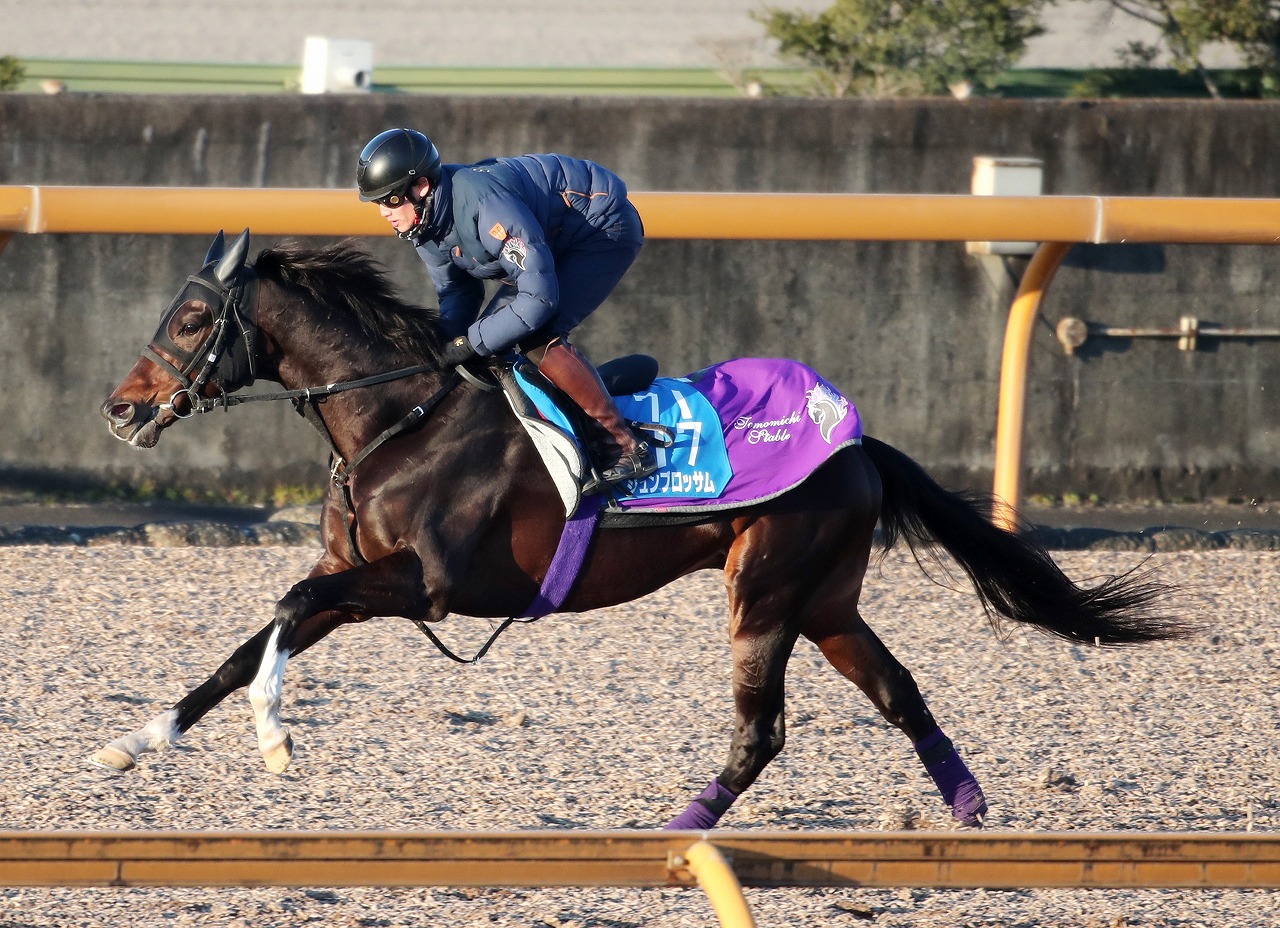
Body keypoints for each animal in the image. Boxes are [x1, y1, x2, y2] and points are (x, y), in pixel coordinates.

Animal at [96, 229, 1191, 830]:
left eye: (190, 320)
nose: (119, 406)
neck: (402, 415)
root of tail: (857, 440)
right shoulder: (359, 572)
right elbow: (250, 642)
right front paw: (137, 739)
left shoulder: (427, 586)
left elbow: (286, 607)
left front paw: (276, 739)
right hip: (825, 600)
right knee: (897, 690)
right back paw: (966, 808)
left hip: (765, 592)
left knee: (762, 729)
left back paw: (684, 822)